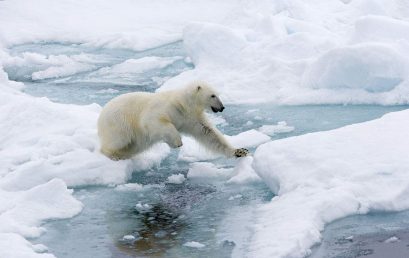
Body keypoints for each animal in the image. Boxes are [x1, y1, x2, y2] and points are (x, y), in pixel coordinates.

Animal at [97, 81, 249, 160]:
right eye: (213, 95)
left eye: (217, 94)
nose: (222, 107)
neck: (184, 103)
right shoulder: (167, 108)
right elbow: (153, 121)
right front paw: (177, 142)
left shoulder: (193, 118)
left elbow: (209, 134)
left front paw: (240, 151)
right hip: (119, 123)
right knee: (118, 140)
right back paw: (113, 155)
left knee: (132, 146)